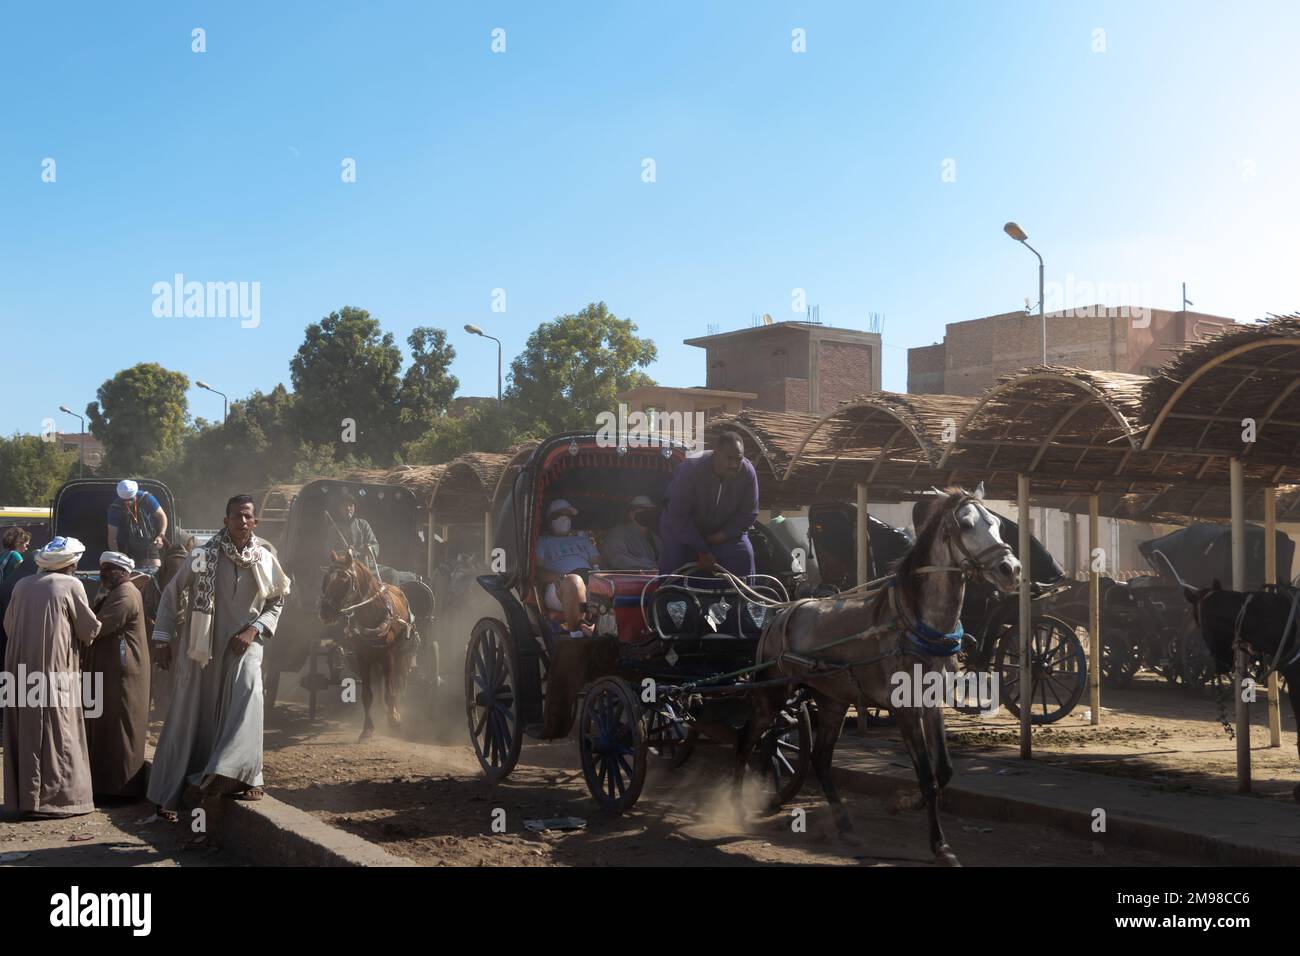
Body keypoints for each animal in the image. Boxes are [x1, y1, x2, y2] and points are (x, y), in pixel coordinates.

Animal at [318, 546, 410, 738]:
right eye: (327, 578)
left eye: (344, 580)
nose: (324, 612)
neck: (371, 615)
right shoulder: (362, 658)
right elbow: (367, 695)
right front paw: (368, 728)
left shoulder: (388, 655)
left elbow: (391, 690)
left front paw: (393, 719)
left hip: (400, 653)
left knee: (398, 681)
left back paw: (395, 712)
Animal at [738, 486, 1019, 868]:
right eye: (965, 524)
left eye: (996, 524)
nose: (1011, 569)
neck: (916, 622)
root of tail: (782, 613)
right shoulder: (904, 709)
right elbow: (928, 777)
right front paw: (939, 844)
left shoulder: (932, 703)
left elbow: (944, 771)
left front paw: (902, 803)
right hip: (772, 693)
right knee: (747, 738)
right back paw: (734, 802)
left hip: (832, 701)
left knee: (817, 758)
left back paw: (844, 825)